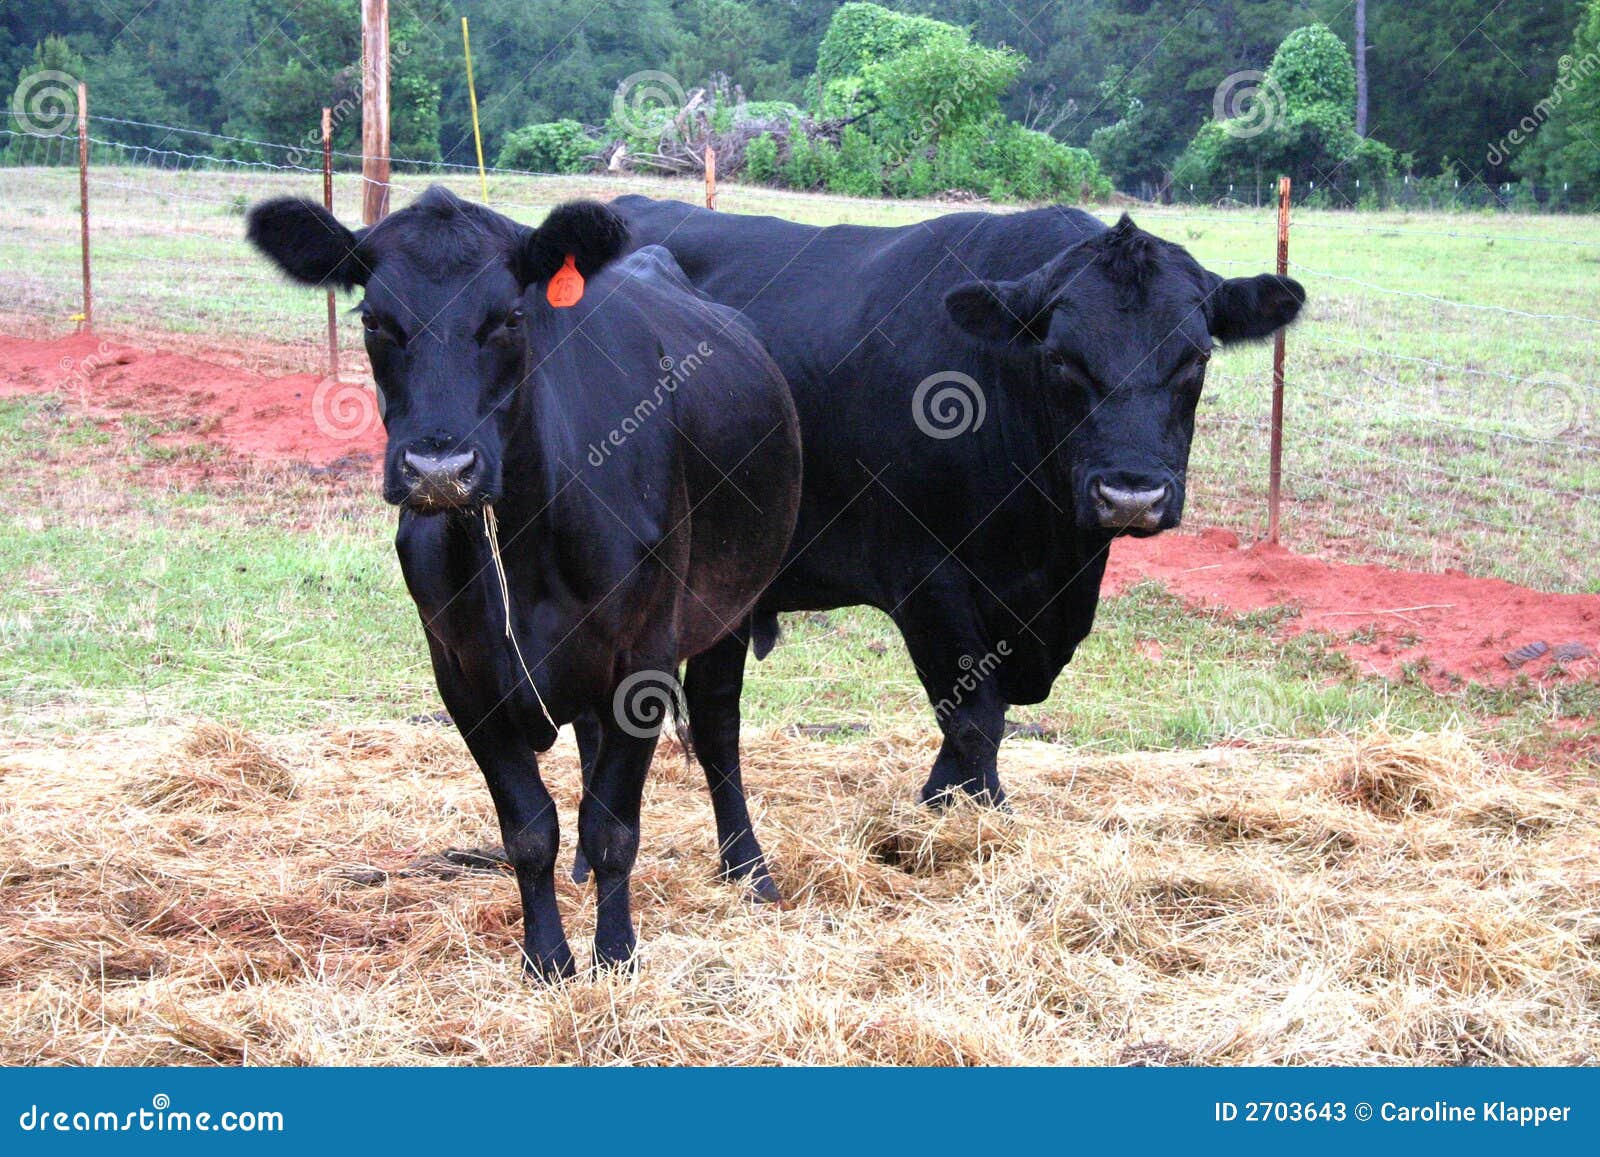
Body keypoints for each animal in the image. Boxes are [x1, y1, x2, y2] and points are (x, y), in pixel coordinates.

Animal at [246, 188, 800, 979]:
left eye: (509, 316)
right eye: (375, 319)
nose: (439, 469)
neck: (525, 538)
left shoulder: (645, 656)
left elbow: (613, 825)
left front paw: (615, 954)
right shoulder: (461, 669)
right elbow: (530, 828)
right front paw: (547, 958)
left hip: (731, 604)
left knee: (719, 729)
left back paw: (748, 869)